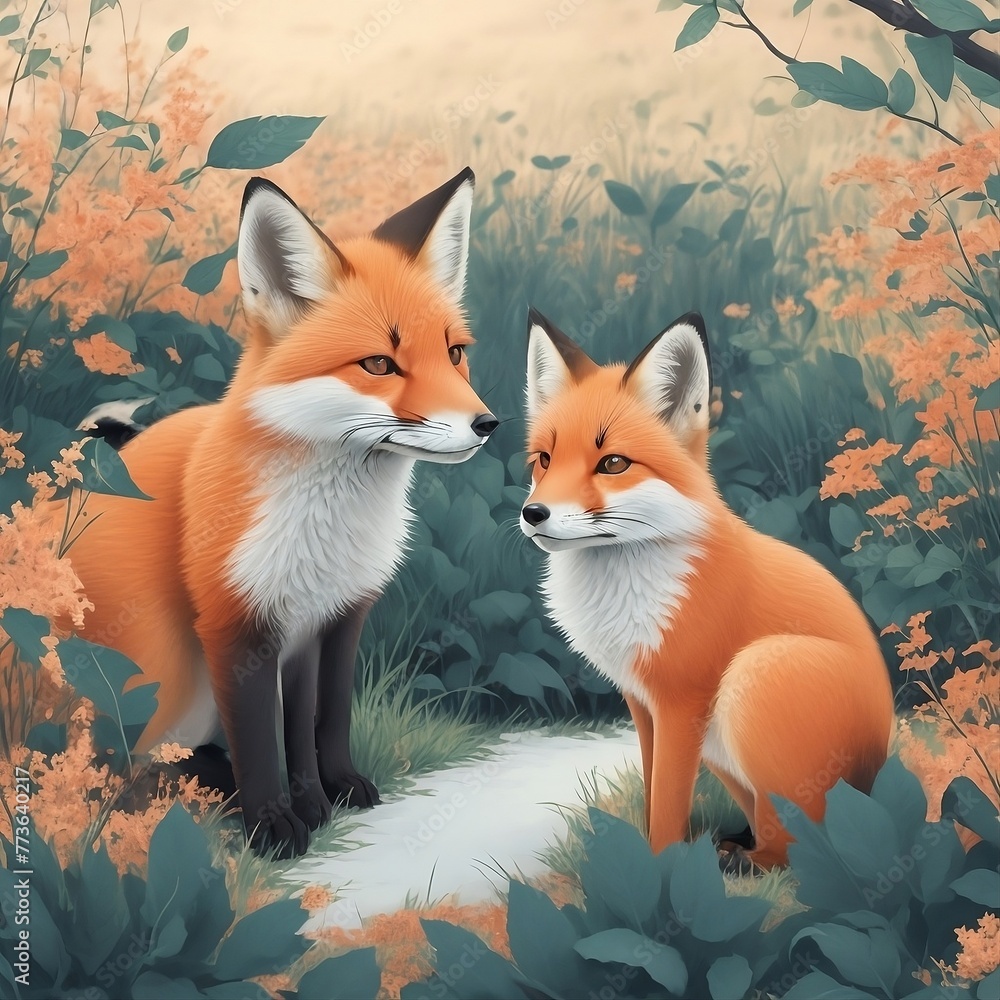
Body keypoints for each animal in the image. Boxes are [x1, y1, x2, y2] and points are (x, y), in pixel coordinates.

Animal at [64, 167, 497, 858]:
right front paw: (274, 824)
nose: (488, 424)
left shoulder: (332, 618)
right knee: (123, 769)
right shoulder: (235, 625)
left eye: (454, 353)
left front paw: (328, 793)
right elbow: (260, 739)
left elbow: (320, 721)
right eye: (379, 364)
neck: (329, 532)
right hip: (161, 682)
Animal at [519, 308, 894, 869]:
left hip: (752, 677)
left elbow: (668, 808)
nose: (533, 514)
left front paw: (662, 873)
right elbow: (652, 793)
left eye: (613, 463)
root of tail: (878, 781)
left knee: (802, 852)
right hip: (721, 749)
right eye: (544, 459)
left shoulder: (681, 702)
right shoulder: (642, 703)